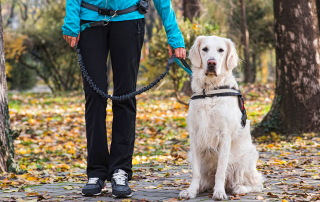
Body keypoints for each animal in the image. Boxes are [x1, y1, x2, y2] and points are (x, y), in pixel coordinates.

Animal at [180, 35, 262, 200]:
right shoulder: (195, 135)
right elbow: (196, 172)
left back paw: (239, 188)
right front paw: (191, 191)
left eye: (221, 50)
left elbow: (221, 170)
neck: (210, 91)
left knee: (256, 184)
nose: (212, 63)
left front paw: (219, 192)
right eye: (205, 49)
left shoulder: (224, 135)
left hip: (246, 159)